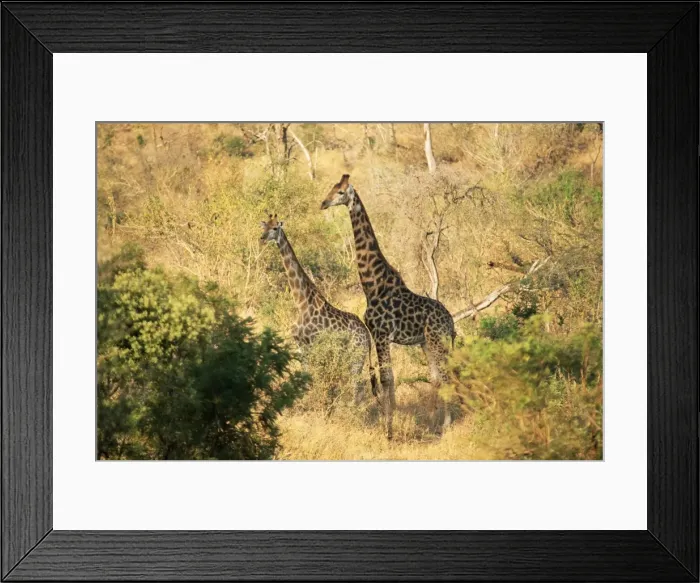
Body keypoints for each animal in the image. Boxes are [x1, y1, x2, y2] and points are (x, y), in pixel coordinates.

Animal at [260, 214, 377, 404]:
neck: (301, 302)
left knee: (358, 386)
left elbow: (308, 378)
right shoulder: (300, 347)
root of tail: (367, 335)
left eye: (275, 228)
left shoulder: (309, 345)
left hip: (356, 357)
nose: (262, 238)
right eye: (264, 227)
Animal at [321, 175, 456, 440]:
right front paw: (389, 422)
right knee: (436, 376)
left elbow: (385, 378)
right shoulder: (381, 337)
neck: (373, 284)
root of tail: (451, 322)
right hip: (426, 342)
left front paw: (388, 430)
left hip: (438, 341)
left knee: (446, 374)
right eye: (331, 188)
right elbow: (390, 379)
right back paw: (434, 421)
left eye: (340, 192)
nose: (323, 203)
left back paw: (446, 425)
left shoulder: (381, 334)